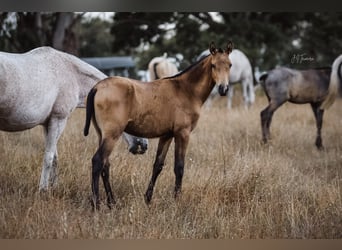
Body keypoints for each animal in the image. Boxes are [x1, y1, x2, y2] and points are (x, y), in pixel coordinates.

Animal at [0, 46, 146, 191]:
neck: (72, 75)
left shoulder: (48, 124)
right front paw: (43, 190)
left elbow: (55, 157)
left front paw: (54, 187)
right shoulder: (58, 120)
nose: (144, 145)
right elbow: (48, 157)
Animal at [84, 42, 234, 210]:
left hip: (102, 134)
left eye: (230, 65)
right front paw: (176, 201)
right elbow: (179, 167)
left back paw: (112, 202)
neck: (185, 90)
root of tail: (97, 87)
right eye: (214, 65)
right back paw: (96, 204)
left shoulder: (166, 135)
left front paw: (147, 199)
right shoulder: (183, 133)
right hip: (112, 135)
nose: (223, 89)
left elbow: (158, 166)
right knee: (98, 161)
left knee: (105, 165)